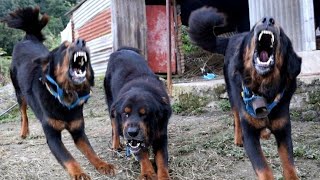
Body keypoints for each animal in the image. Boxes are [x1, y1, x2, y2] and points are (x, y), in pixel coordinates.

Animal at [2, 6, 115, 179]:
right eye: (64, 48)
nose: (81, 41)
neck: (66, 96)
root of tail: (28, 38)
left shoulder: (78, 131)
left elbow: (91, 151)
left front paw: (103, 164)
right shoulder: (53, 136)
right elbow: (68, 157)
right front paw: (79, 173)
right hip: (19, 93)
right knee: (23, 113)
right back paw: (24, 132)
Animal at [104, 47, 171, 179]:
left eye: (144, 114)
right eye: (125, 114)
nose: (132, 132)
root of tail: (121, 50)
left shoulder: (161, 133)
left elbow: (162, 158)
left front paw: (164, 176)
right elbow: (141, 153)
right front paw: (148, 172)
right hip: (111, 104)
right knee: (114, 125)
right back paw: (116, 145)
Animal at [189, 7, 302, 180]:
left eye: (282, 33)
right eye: (253, 27)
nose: (268, 19)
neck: (264, 90)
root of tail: (231, 38)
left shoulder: (284, 129)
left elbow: (289, 164)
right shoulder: (249, 134)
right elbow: (263, 168)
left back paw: (264, 132)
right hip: (233, 94)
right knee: (236, 115)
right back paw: (238, 138)